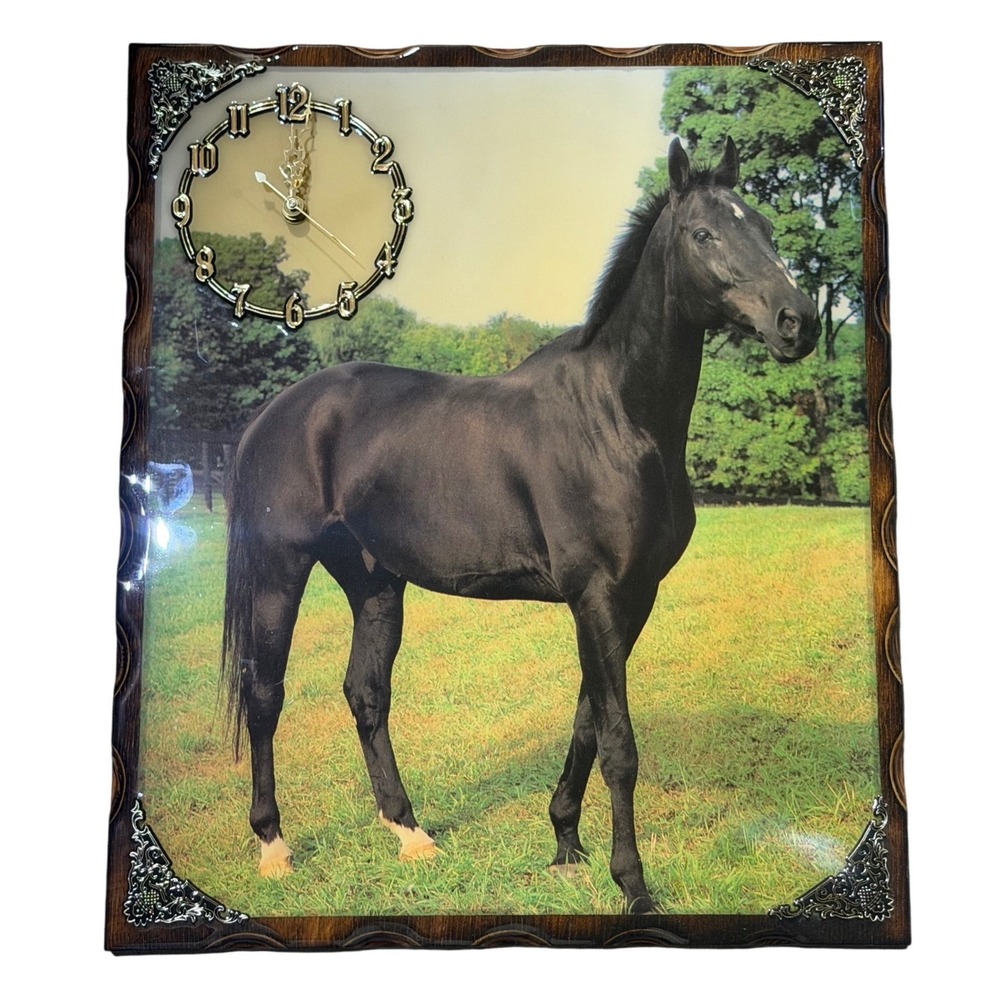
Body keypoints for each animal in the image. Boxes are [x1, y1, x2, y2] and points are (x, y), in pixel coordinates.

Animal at [220, 137, 819, 913]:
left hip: (374, 582)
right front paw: (633, 884)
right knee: (264, 695)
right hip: (280, 572)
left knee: (366, 694)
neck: (616, 417)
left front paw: (565, 842)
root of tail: (275, 414)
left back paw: (411, 835)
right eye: (704, 234)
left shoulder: (630, 599)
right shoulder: (597, 597)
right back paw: (274, 846)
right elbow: (620, 744)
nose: (797, 321)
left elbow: (589, 721)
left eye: (769, 229)